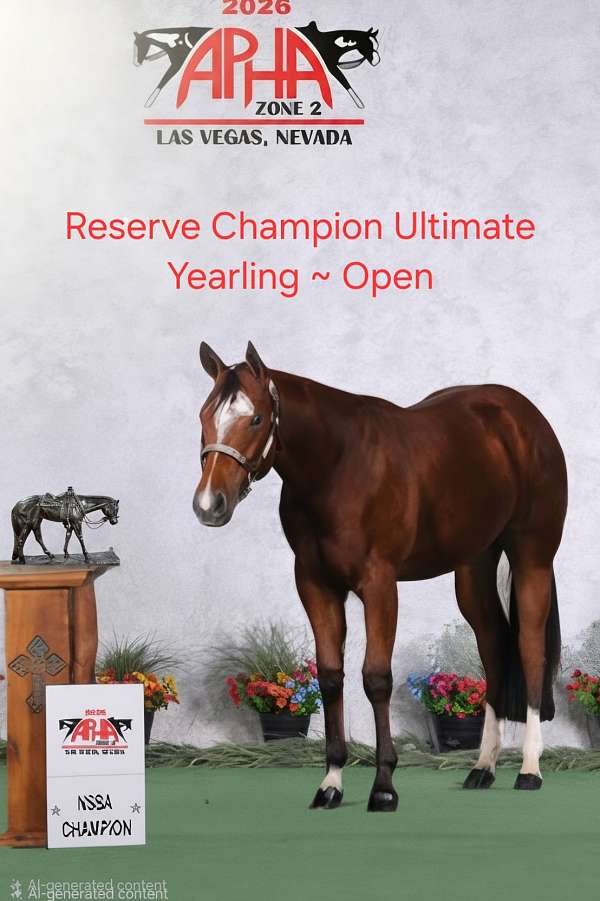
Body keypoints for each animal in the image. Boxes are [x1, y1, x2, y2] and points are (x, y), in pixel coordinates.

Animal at [193, 342, 567, 812]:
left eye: (256, 418)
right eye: (204, 416)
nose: (209, 504)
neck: (338, 466)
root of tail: (525, 416)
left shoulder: (379, 584)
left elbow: (376, 678)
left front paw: (384, 787)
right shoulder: (315, 584)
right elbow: (330, 677)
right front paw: (330, 785)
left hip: (532, 557)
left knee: (530, 650)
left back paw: (529, 770)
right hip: (474, 568)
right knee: (495, 647)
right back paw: (482, 767)